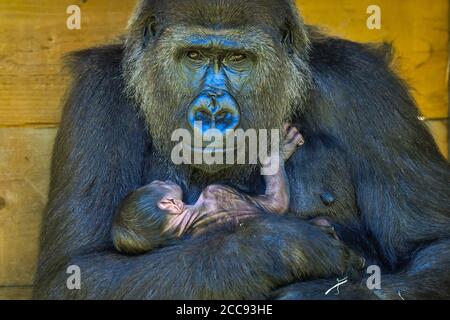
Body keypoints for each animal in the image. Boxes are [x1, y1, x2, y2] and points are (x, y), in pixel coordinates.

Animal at [34, 0, 450, 300]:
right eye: (194, 56)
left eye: (238, 59)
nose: (213, 113)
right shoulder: (98, 93)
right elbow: (77, 271)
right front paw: (281, 247)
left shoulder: (363, 84)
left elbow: (432, 246)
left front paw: (315, 294)